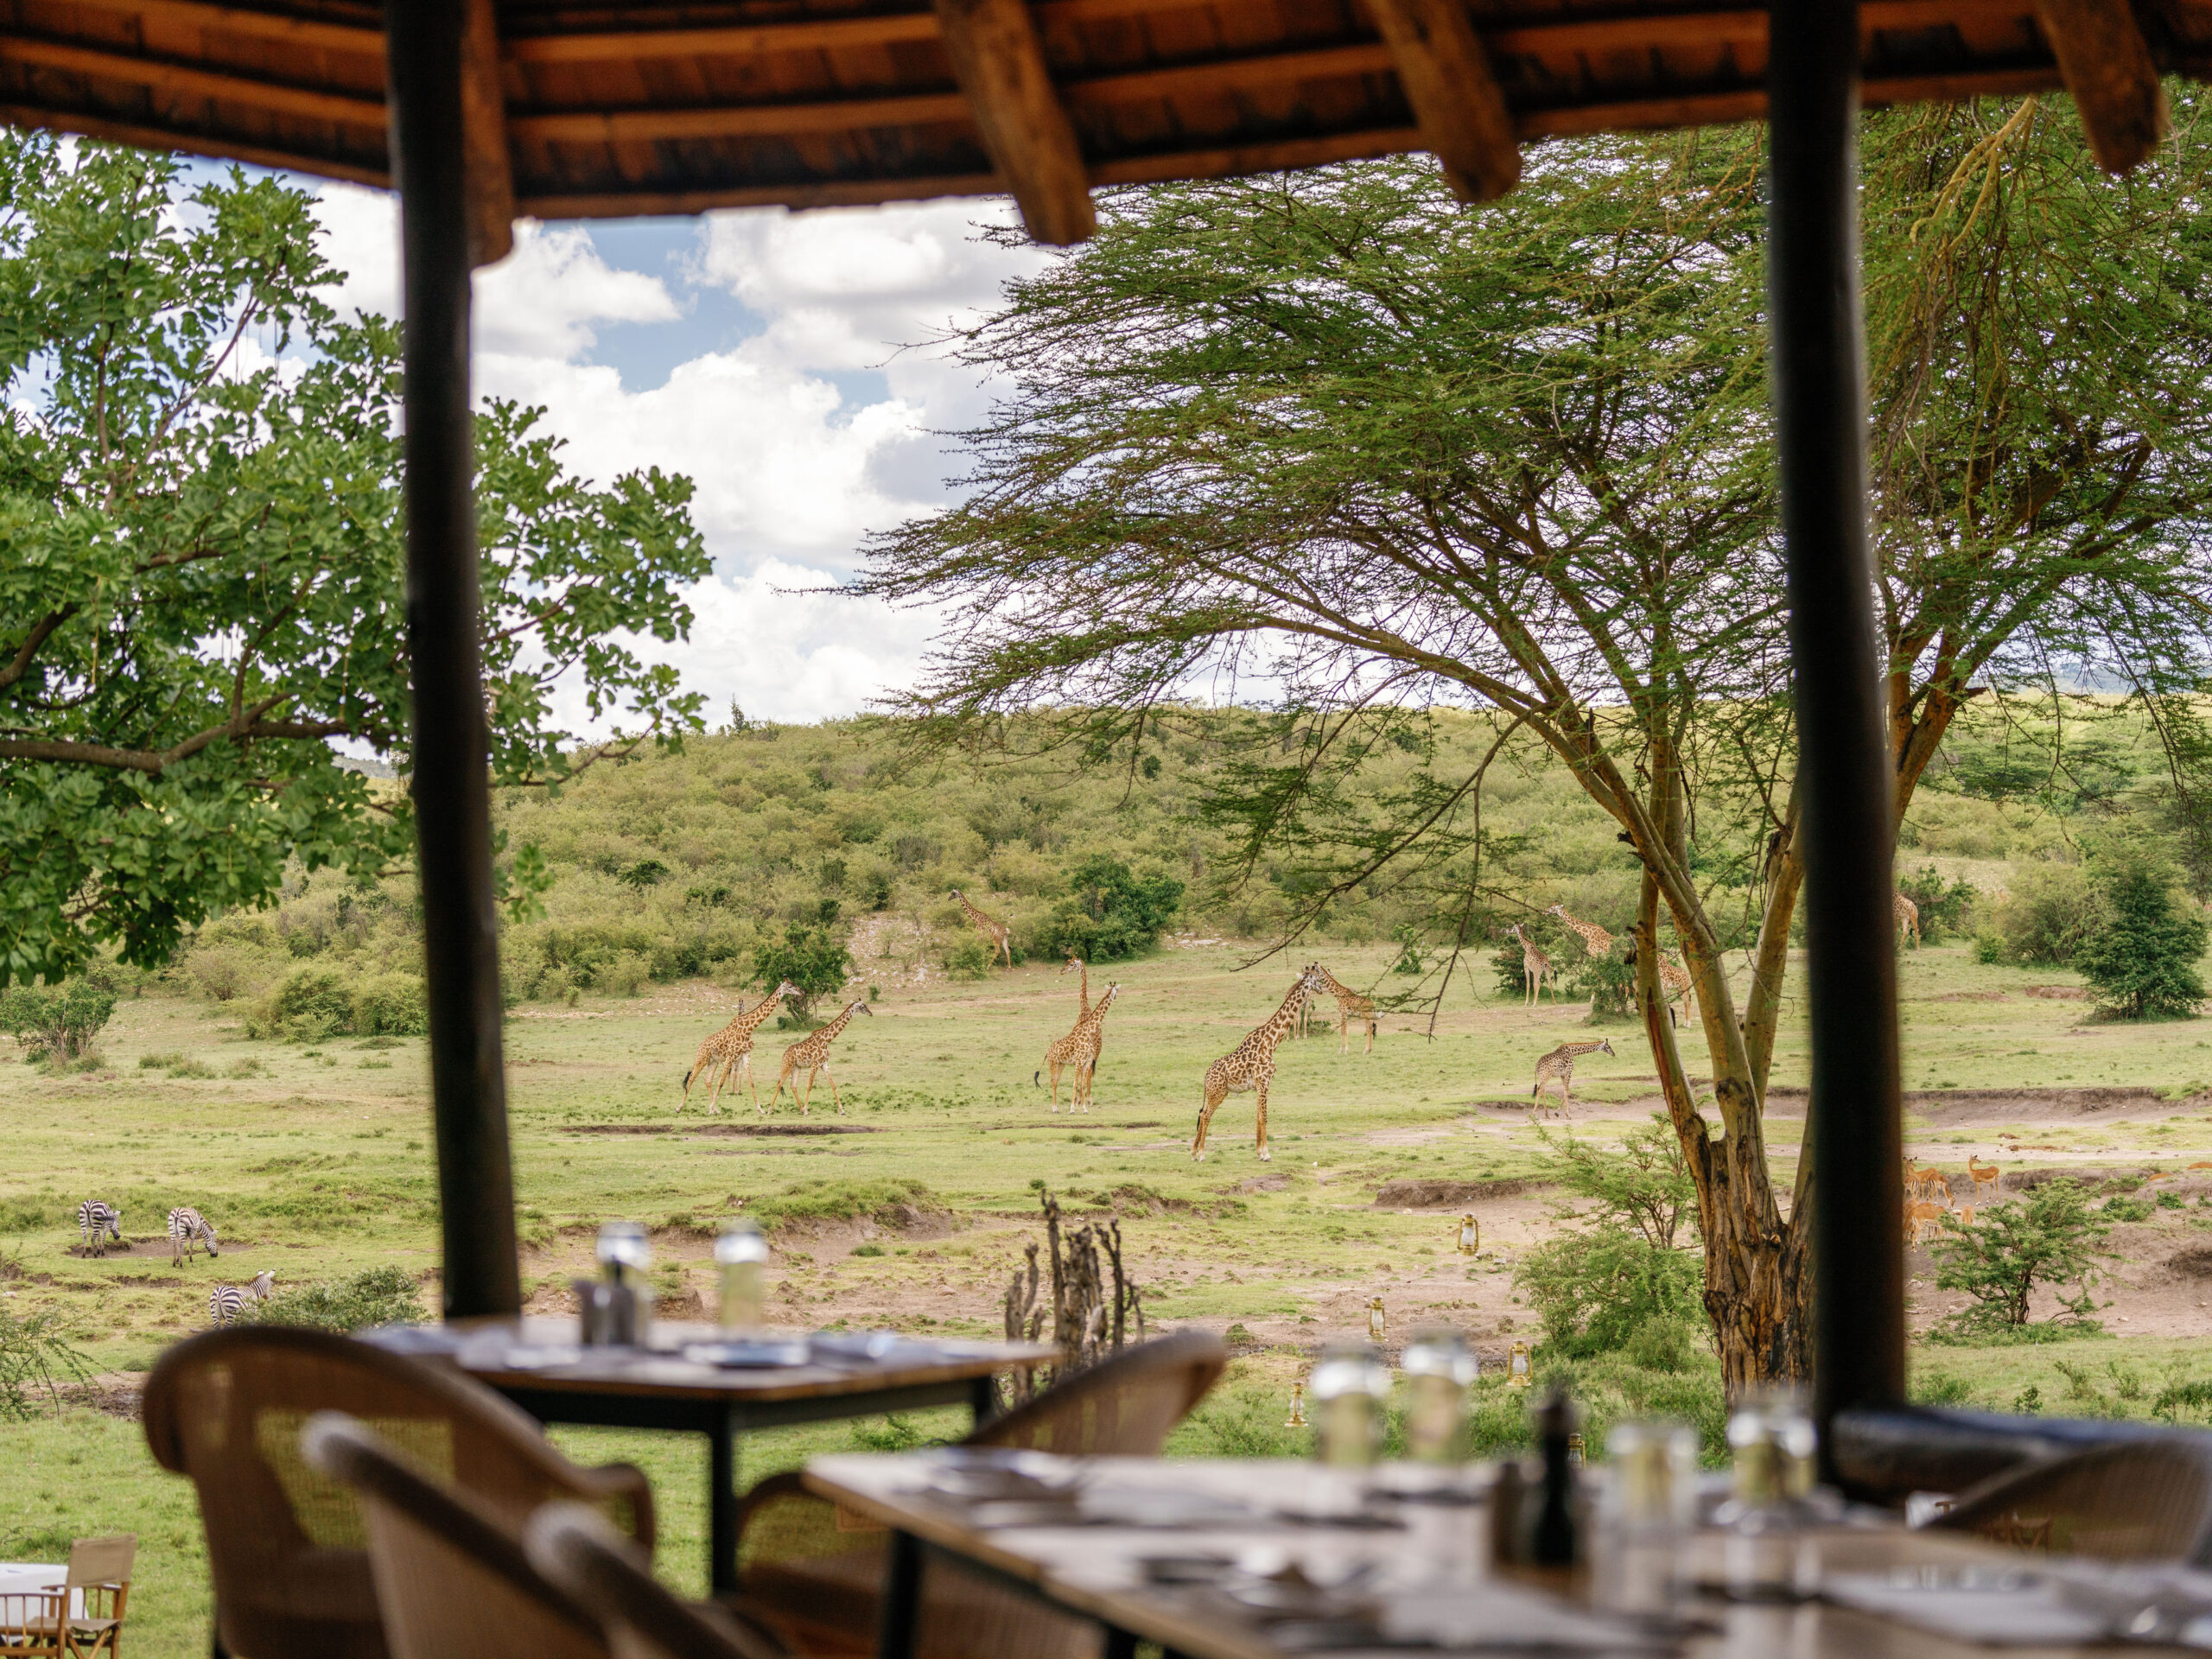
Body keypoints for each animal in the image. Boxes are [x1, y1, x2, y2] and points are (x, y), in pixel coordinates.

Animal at [680, 980, 800, 1114]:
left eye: (795, 984)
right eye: (790, 986)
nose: (801, 992)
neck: (748, 1028)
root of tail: (700, 1046)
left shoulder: (746, 1055)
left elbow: (751, 1082)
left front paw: (760, 1109)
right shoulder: (730, 1056)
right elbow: (721, 1082)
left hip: (713, 1062)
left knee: (707, 1081)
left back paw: (715, 1109)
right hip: (701, 1059)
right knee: (691, 1078)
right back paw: (679, 1107)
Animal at [768, 999, 874, 1116]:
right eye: (863, 1006)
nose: (871, 1013)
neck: (826, 1040)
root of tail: (784, 1054)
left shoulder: (824, 1064)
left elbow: (833, 1085)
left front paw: (842, 1110)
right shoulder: (815, 1063)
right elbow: (810, 1086)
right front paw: (806, 1110)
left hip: (796, 1067)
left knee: (793, 1086)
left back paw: (800, 1109)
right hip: (787, 1065)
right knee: (779, 1084)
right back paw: (770, 1110)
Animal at [1038, 984, 1120, 1112]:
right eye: (1116, 990)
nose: (1116, 997)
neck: (1088, 1032)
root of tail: (1047, 1051)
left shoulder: (1087, 1061)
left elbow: (1082, 1084)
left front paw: (1084, 1109)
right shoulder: (1079, 1061)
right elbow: (1075, 1083)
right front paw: (1072, 1109)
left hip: (1061, 1064)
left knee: (1056, 1081)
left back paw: (1057, 1108)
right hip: (1053, 1063)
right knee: (1053, 1081)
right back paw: (1054, 1108)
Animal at [1191, 964, 1327, 1163]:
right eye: (1317, 977)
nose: (1322, 989)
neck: (1272, 1042)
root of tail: (1206, 1075)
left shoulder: (1259, 1086)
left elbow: (1257, 1116)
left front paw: (1259, 1152)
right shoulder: (1264, 1082)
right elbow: (1264, 1117)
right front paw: (1266, 1153)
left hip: (1215, 1092)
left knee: (1202, 1113)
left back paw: (1193, 1152)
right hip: (1218, 1092)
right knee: (1207, 1114)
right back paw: (1201, 1154)